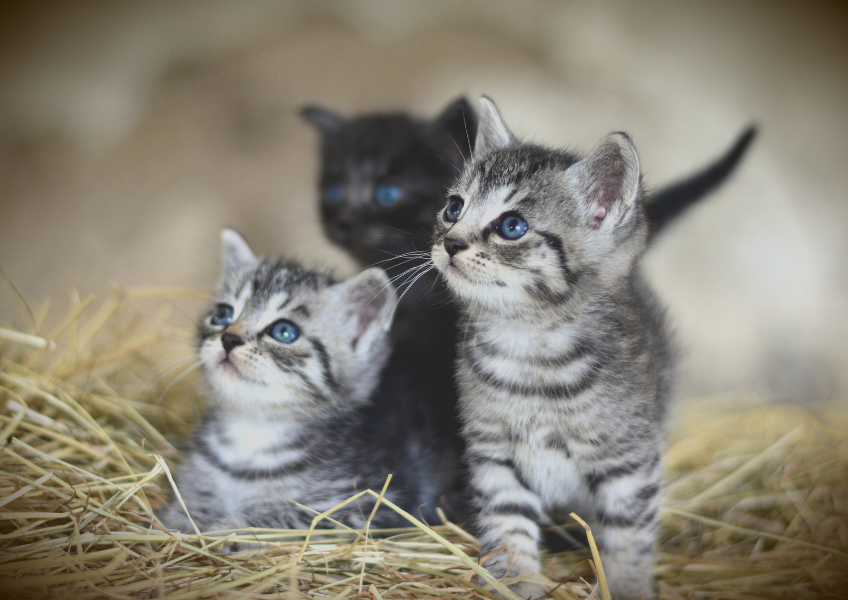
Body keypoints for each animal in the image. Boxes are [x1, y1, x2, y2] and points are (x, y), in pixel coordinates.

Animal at [164, 229, 458, 536]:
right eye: (222, 315)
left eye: (284, 331)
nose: (229, 339)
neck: (253, 431)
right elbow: (184, 506)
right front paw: (181, 521)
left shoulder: (368, 506)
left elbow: (280, 522)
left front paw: (225, 530)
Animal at [434, 98, 672, 600]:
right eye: (453, 207)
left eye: (511, 226)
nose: (451, 242)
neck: (530, 348)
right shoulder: (493, 454)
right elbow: (507, 527)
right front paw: (515, 583)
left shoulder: (630, 460)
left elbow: (629, 538)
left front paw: (626, 585)